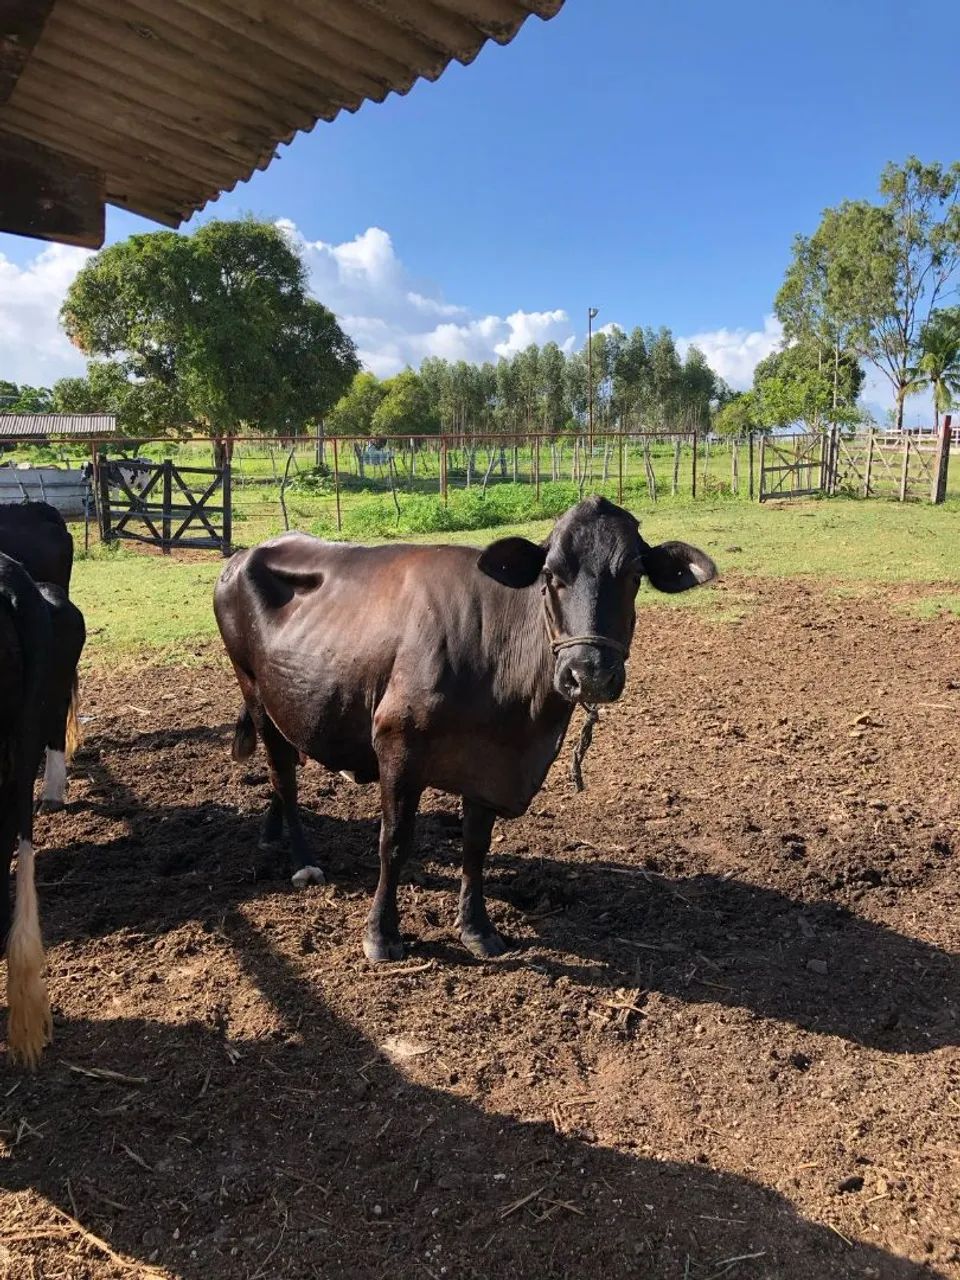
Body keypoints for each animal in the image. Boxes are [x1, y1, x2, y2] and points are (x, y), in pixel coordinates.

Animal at [214, 497, 716, 963]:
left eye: (634, 576)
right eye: (550, 575)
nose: (588, 672)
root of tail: (246, 553)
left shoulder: (488, 764)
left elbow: (476, 847)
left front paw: (477, 929)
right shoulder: (397, 745)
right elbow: (394, 841)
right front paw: (381, 935)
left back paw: (271, 835)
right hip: (254, 690)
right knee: (284, 775)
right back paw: (303, 863)